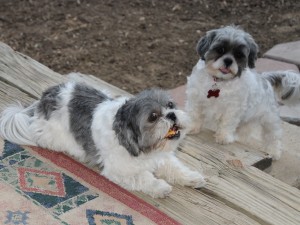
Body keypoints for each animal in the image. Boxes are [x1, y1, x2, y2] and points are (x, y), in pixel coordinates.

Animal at [0, 82, 205, 197]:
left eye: (170, 104)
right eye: (153, 117)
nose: (171, 114)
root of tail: (45, 99)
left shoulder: (162, 156)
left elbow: (175, 168)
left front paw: (192, 177)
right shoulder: (119, 171)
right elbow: (143, 177)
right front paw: (160, 187)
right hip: (54, 137)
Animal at [186, 25, 298, 160]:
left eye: (238, 54)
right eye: (220, 50)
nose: (228, 60)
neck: (219, 82)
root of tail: (265, 78)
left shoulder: (233, 108)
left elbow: (227, 122)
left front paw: (224, 137)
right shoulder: (196, 99)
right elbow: (195, 115)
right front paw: (191, 127)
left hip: (269, 119)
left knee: (273, 136)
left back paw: (274, 152)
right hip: (247, 120)